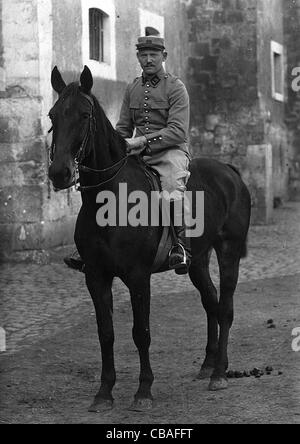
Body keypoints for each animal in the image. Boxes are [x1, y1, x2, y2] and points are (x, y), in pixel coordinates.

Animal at [48, 66, 251, 412]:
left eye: (85, 115)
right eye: (52, 115)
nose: (59, 172)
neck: (109, 200)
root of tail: (228, 170)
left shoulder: (138, 277)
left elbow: (140, 332)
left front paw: (143, 390)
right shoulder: (96, 276)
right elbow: (105, 333)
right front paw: (104, 392)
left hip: (229, 252)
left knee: (224, 307)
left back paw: (219, 373)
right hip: (197, 261)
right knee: (210, 302)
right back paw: (208, 365)